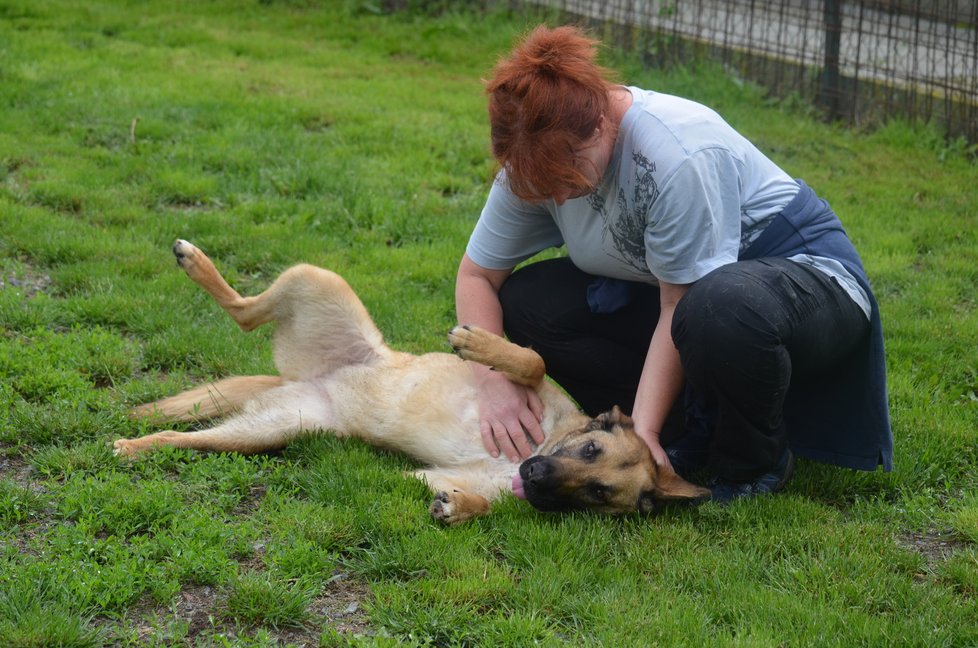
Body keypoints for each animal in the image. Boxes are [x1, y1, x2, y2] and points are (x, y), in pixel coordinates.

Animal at [114, 240, 704, 524]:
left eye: (599, 492)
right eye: (589, 449)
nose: (533, 475)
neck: (540, 446)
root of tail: (312, 376)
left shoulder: (435, 475)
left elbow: (477, 502)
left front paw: (458, 509)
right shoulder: (530, 392)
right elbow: (532, 361)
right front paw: (481, 346)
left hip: (266, 432)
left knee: (187, 437)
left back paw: (137, 444)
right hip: (317, 279)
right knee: (243, 311)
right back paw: (194, 261)